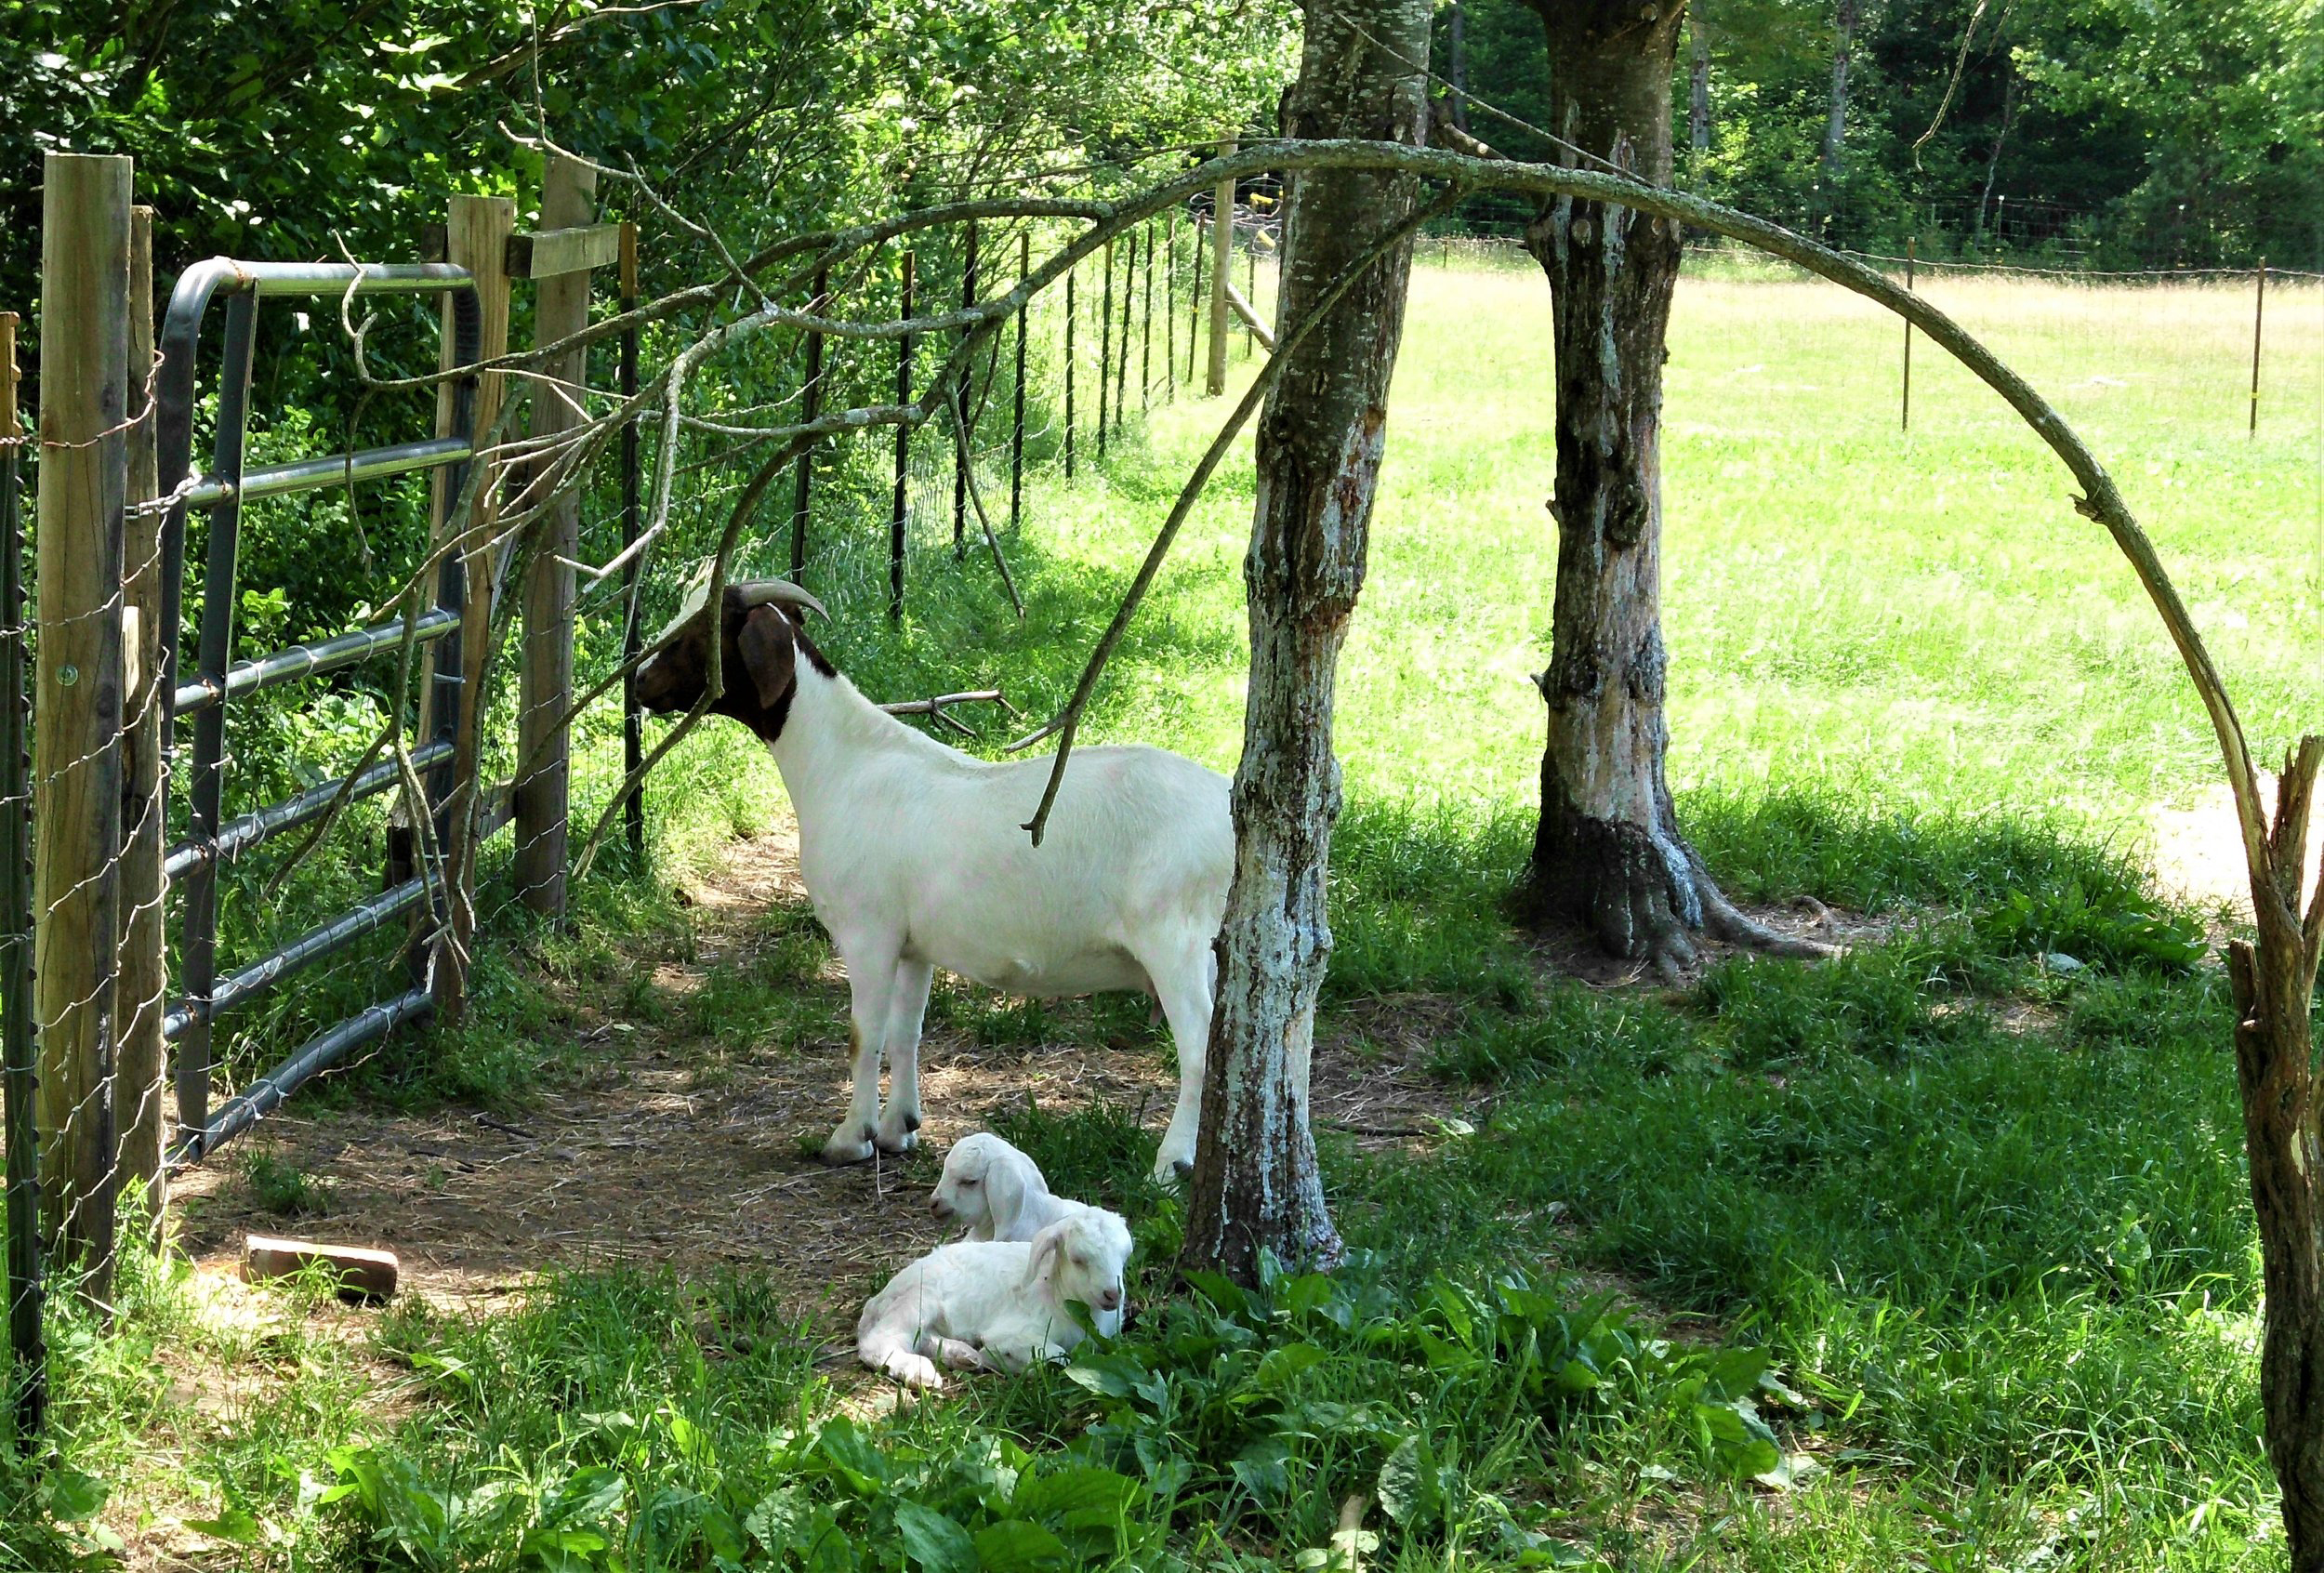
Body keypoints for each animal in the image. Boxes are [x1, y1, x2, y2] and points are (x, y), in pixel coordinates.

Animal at [635, 577, 1229, 1179]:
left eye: (701, 627)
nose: (639, 681)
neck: (842, 763)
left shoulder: (867, 932)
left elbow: (864, 1035)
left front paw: (850, 1138)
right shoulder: (913, 946)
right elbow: (905, 1034)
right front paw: (899, 1128)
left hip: (1177, 940)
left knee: (1199, 1049)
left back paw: (1169, 1166)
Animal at [856, 1208, 1134, 1390]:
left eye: (1125, 1255)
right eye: (1078, 1259)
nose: (1112, 1294)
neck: (1055, 1291)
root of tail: (877, 1300)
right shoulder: (1015, 1331)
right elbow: (1058, 1357)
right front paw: (1002, 1359)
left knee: (922, 1338)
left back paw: (964, 1356)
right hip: (919, 1299)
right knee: (880, 1342)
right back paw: (920, 1372)